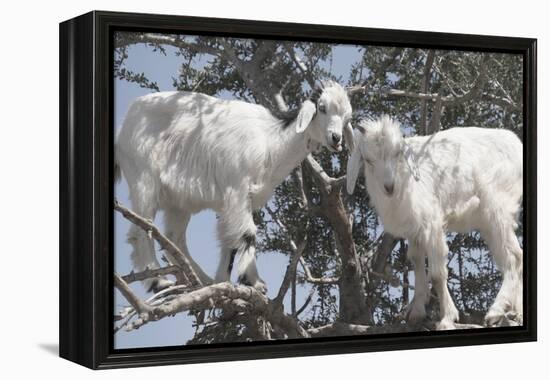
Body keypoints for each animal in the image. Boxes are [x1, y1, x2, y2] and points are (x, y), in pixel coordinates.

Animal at [118, 81, 356, 294]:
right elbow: (248, 234)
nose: (336, 139)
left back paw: (202, 280)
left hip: (178, 202)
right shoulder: (237, 189)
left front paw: (223, 280)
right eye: (322, 108)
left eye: (347, 117)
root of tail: (124, 125)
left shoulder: (238, 201)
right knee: (142, 229)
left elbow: (230, 238)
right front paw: (254, 281)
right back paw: (158, 282)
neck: (271, 141)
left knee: (174, 238)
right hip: (143, 178)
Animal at [350, 116, 528, 330]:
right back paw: (516, 312)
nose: (389, 187)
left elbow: (436, 274)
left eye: (397, 153)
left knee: (513, 257)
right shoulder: (414, 230)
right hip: (490, 220)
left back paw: (496, 310)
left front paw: (447, 318)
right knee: (515, 255)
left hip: (498, 207)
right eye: (368, 160)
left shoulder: (432, 223)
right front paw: (416, 312)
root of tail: (517, 145)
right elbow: (416, 261)